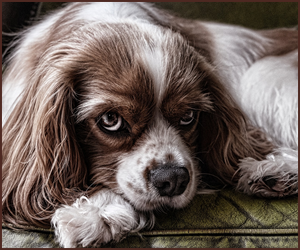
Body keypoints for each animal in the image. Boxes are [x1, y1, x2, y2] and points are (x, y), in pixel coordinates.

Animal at [1, 2, 298, 248]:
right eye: (110, 120)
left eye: (188, 116)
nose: (173, 179)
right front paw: (97, 210)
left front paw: (98, 212)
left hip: (261, 78)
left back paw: (274, 170)